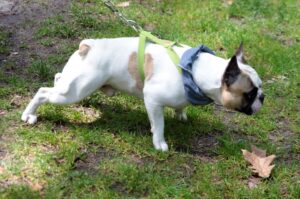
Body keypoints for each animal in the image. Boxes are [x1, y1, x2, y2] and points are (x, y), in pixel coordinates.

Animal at [21, 37, 264, 151]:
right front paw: (160, 144)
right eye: (250, 94)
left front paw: (181, 114)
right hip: (74, 91)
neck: (193, 70)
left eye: (259, 90)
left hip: (74, 83)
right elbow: (159, 125)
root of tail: (89, 46)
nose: (263, 97)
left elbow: (180, 105)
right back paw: (29, 114)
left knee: (57, 77)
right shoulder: (153, 101)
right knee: (43, 92)